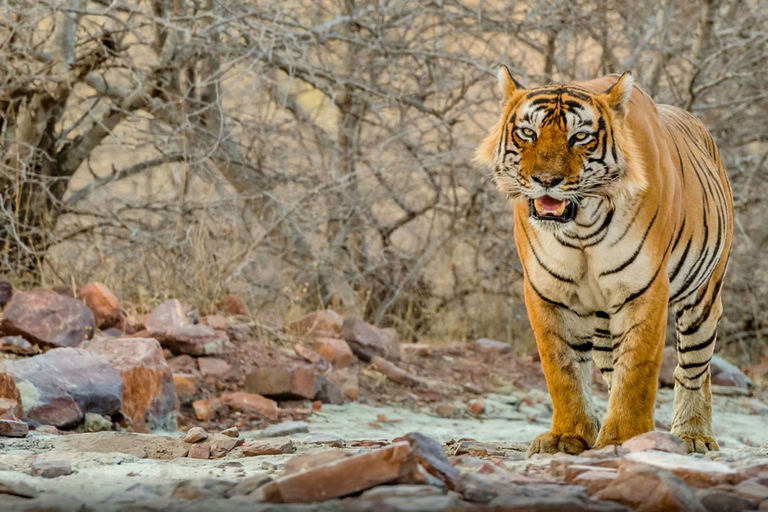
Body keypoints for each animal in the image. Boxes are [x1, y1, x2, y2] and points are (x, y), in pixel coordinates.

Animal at [476, 69, 736, 456]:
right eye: (528, 133)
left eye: (580, 137)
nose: (546, 180)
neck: (581, 228)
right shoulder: (547, 293)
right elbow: (563, 370)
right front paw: (567, 436)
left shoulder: (644, 288)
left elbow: (638, 370)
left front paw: (625, 437)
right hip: (602, 324)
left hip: (702, 298)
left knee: (693, 369)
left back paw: (694, 435)